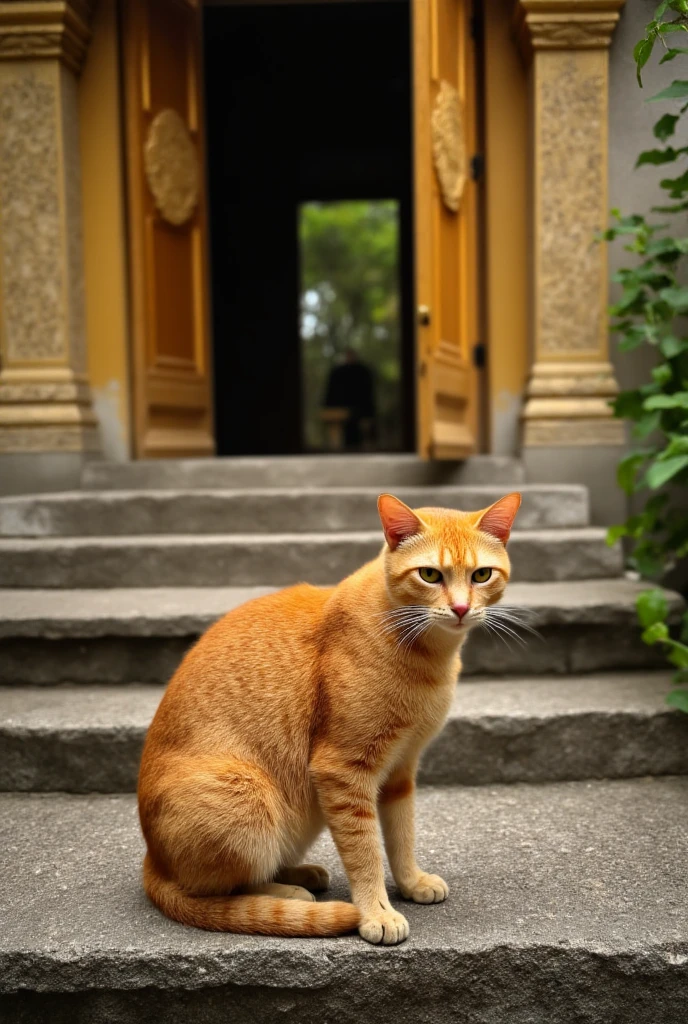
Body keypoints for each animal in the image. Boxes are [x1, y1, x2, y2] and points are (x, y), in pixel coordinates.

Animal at [137, 491, 518, 946]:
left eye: (481, 575)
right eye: (429, 575)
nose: (461, 608)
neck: (427, 658)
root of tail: (152, 860)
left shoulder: (401, 769)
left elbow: (401, 836)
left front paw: (410, 882)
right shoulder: (342, 770)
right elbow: (365, 853)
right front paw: (376, 912)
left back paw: (300, 873)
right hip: (249, 797)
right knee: (220, 890)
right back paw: (290, 892)